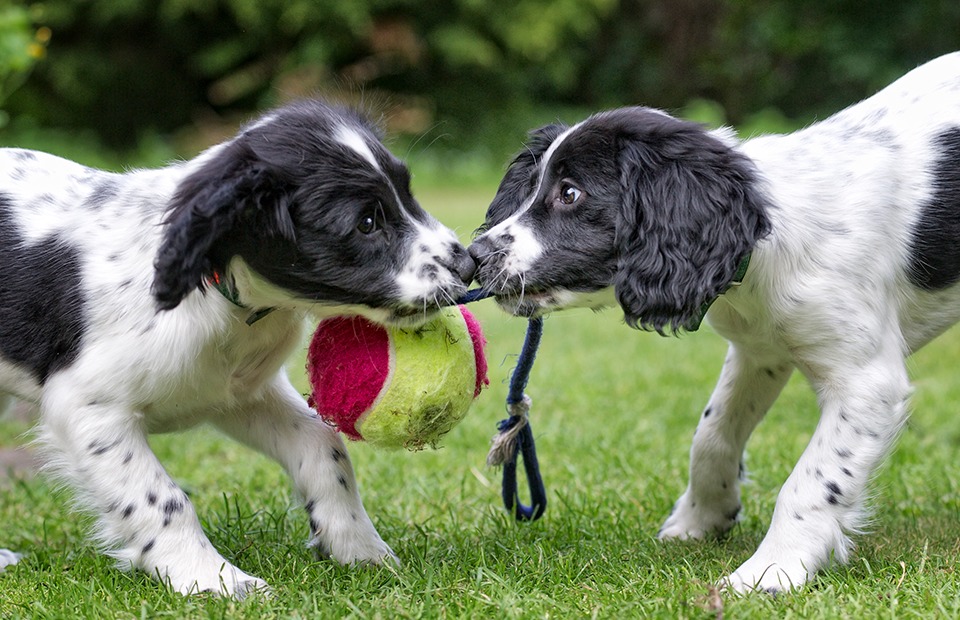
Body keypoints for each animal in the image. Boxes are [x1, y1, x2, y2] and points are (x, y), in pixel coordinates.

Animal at [0, 100, 476, 596]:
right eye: (367, 223)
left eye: (407, 192)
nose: (468, 264)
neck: (213, 289)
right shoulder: (88, 407)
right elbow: (163, 499)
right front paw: (213, 579)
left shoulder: (240, 393)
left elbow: (324, 446)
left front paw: (360, 548)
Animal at [468, 52, 960, 592]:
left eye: (570, 193)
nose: (474, 257)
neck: (766, 235)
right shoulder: (759, 350)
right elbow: (712, 434)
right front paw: (702, 517)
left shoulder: (866, 381)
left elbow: (813, 480)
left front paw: (771, 572)